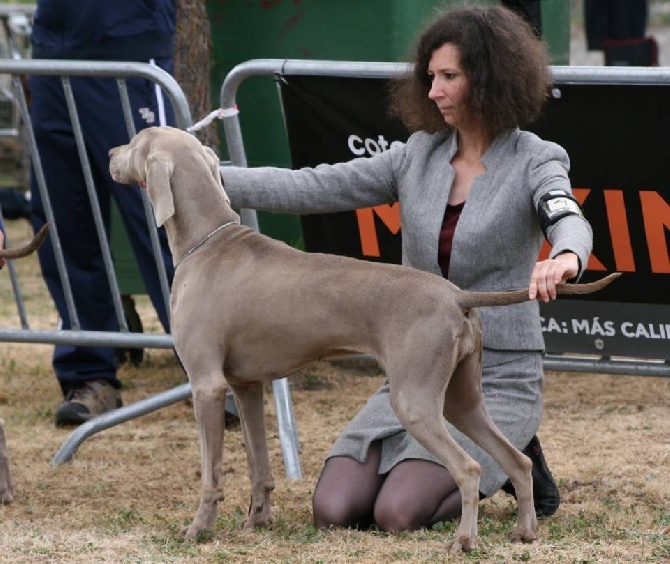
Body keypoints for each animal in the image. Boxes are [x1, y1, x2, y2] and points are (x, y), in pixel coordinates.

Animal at [109, 128, 620, 556]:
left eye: (135, 141)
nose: (111, 153)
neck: (209, 241)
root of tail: (456, 294)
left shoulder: (207, 386)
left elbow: (211, 472)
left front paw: (199, 529)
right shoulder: (246, 386)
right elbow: (260, 467)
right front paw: (258, 522)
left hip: (414, 401)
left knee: (470, 469)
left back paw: (463, 541)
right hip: (460, 399)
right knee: (517, 460)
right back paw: (525, 531)